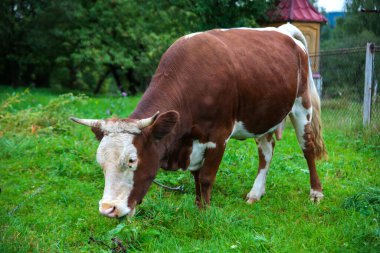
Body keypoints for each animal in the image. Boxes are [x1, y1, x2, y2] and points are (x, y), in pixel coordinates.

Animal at [70, 23, 326, 217]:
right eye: (101, 163)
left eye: (132, 160)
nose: (107, 209)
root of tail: (283, 30)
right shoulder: (192, 141)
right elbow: (195, 176)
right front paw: (197, 206)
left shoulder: (218, 136)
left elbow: (205, 177)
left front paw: (205, 213)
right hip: (262, 115)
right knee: (267, 151)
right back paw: (255, 194)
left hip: (302, 108)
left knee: (307, 149)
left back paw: (316, 193)